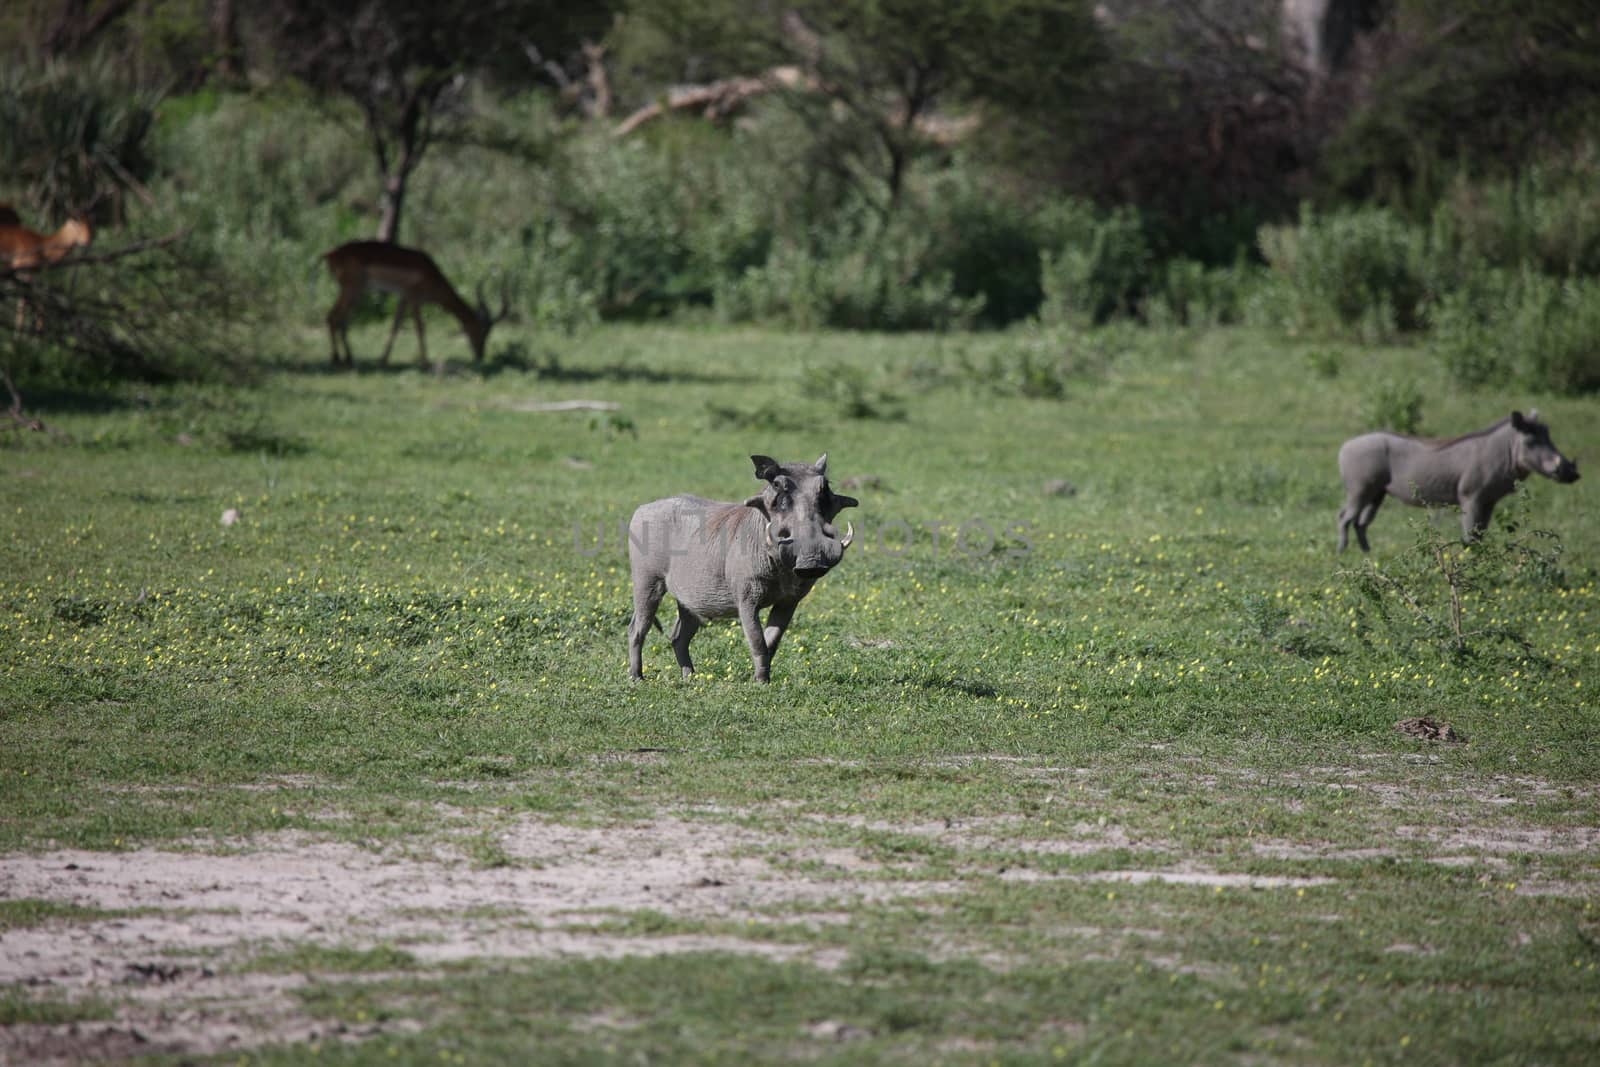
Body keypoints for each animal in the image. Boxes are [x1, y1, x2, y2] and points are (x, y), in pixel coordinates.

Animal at [318, 241, 505, 371]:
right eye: (481, 331)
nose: (480, 355)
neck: (432, 274)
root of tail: (330, 254)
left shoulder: (404, 298)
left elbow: (396, 325)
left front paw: (383, 360)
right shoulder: (414, 299)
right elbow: (420, 328)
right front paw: (425, 363)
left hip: (358, 292)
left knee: (342, 320)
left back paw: (349, 359)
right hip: (352, 289)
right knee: (333, 317)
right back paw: (336, 359)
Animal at [1337, 409, 1574, 556]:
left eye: (1548, 434)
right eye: (1531, 440)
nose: (1572, 472)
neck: (1504, 450)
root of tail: (1345, 446)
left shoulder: (1489, 501)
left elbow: (1480, 533)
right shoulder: (1471, 497)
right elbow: (1470, 534)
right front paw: (1470, 558)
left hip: (1376, 494)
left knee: (1361, 522)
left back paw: (1367, 553)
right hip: (1359, 489)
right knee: (1344, 518)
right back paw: (1342, 553)